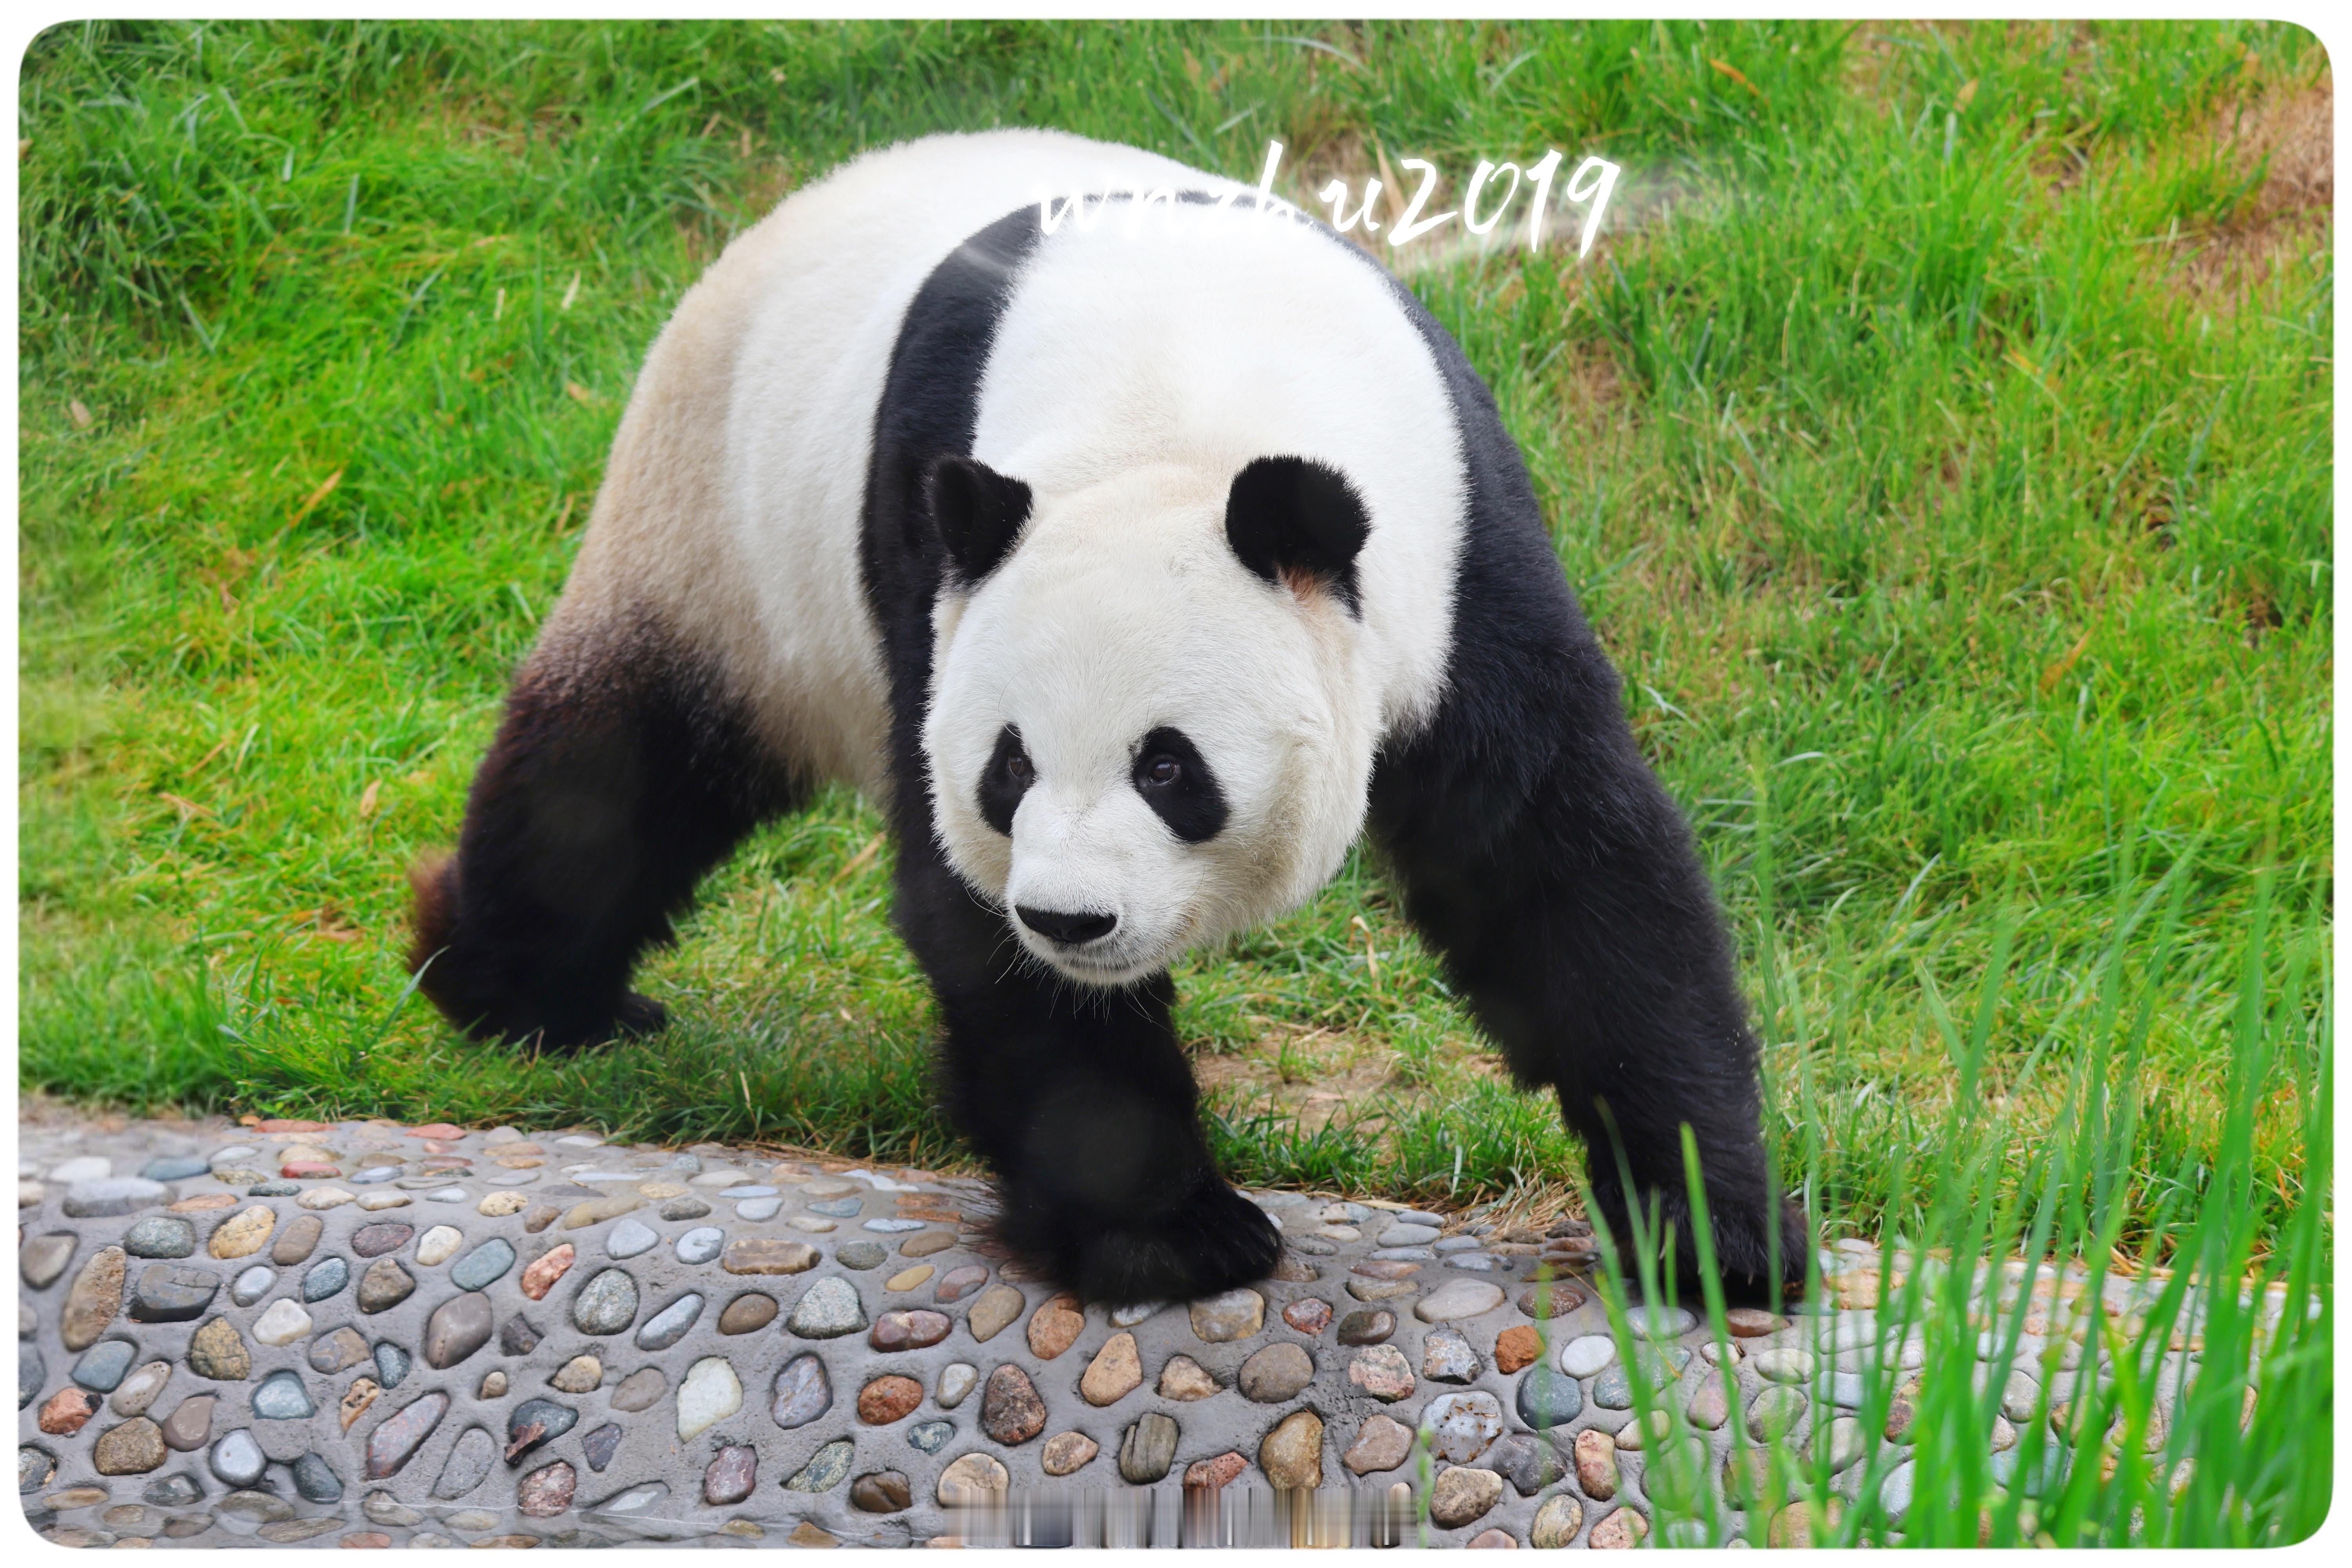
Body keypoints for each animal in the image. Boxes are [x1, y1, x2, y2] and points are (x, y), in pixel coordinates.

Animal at [409, 128, 1808, 1306]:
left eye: (1169, 769)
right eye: (1007, 768)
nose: (1071, 921)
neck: (1187, 393)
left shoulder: (1460, 563)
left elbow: (1562, 868)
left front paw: (1718, 1234)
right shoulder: (934, 570)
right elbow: (971, 921)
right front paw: (1169, 1239)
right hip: (719, 530)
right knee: (612, 777)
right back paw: (520, 995)